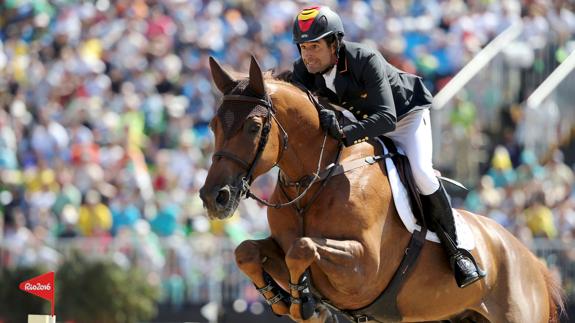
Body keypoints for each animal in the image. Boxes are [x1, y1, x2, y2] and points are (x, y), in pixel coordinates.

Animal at [198, 57, 564, 322]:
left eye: (253, 126)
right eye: (213, 125)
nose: (214, 197)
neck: (318, 177)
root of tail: (534, 261)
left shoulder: (363, 268)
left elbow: (302, 248)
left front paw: (305, 303)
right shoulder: (280, 246)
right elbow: (247, 251)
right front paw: (282, 300)